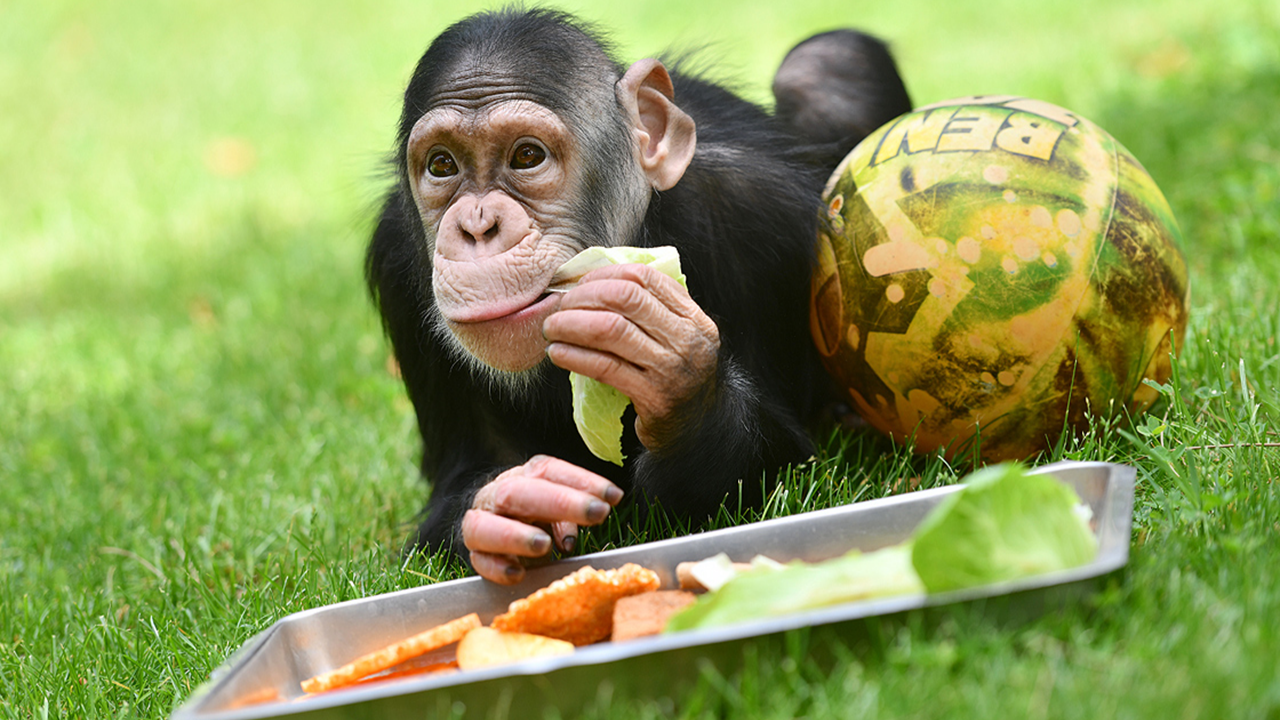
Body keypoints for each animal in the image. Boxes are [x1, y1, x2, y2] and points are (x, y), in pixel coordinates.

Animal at [366, 8, 916, 579]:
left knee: (827, 63)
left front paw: (679, 377)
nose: (477, 226)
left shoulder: (760, 214)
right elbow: (461, 481)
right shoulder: (394, 256)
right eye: (442, 166)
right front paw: (510, 502)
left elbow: (784, 465)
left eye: (526, 156)